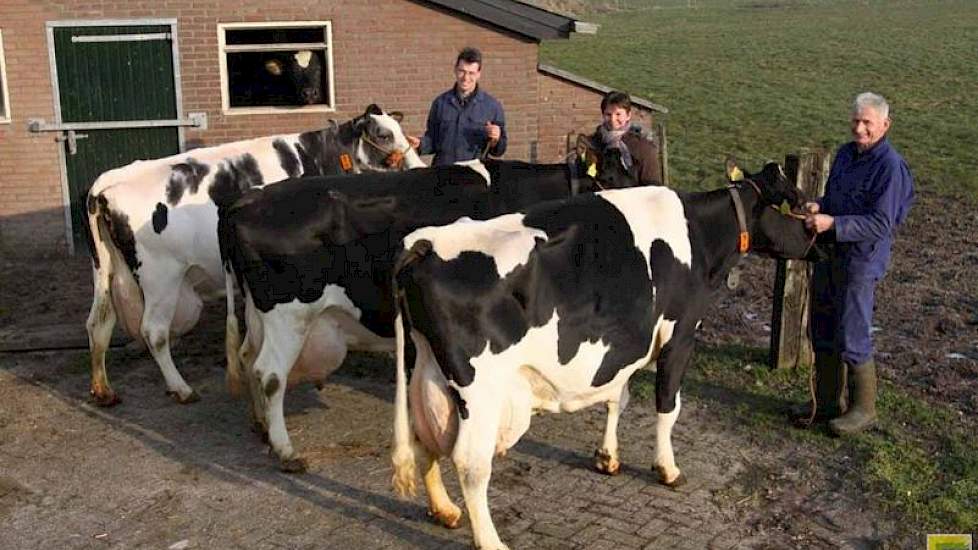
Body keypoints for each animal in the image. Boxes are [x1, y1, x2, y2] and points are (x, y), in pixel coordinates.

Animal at [84, 105, 420, 408]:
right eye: (383, 135)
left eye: (400, 130)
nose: (417, 167)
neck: (320, 155)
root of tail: (108, 182)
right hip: (160, 278)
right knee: (153, 331)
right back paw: (181, 389)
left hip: (105, 272)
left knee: (99, 322)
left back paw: (104, 391)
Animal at [217, 143, 636, 474]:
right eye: (611, 178)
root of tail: (246, 199)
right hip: (289, 315)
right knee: (270, 373)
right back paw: (285, 449)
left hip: (259, 314)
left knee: (249, 357)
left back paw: (261, 427)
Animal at [390, 161, 824, 550]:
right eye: (796, 204)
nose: (819, 239)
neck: (698, 235)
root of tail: (425, 245)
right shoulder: (680, 335)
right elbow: (668, 406)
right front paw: (667, 469)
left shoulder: (624, 343)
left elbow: (619, 396)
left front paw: (607, 456)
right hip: (479, 388)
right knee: (470, 463)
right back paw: (490, 541)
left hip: (423, 369)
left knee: (424, 438)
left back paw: (444, 509)